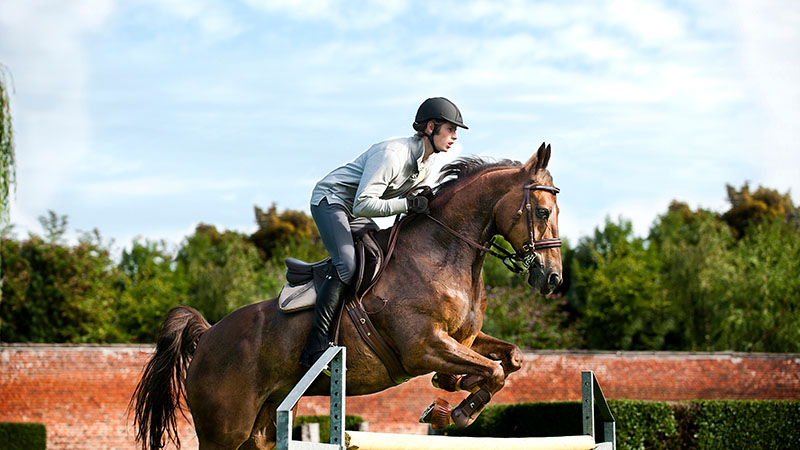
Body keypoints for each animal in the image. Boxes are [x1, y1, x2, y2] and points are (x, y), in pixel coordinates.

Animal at [131, 143, 564, 450]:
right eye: (543, 212)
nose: (553, 278)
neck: (444, 252)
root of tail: (207, 335)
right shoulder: (423, 347)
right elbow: (492, 371)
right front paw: (453, 411)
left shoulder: (464, 339)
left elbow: (510, 360)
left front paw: (453, 392)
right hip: (224, 431)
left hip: (260, 428)